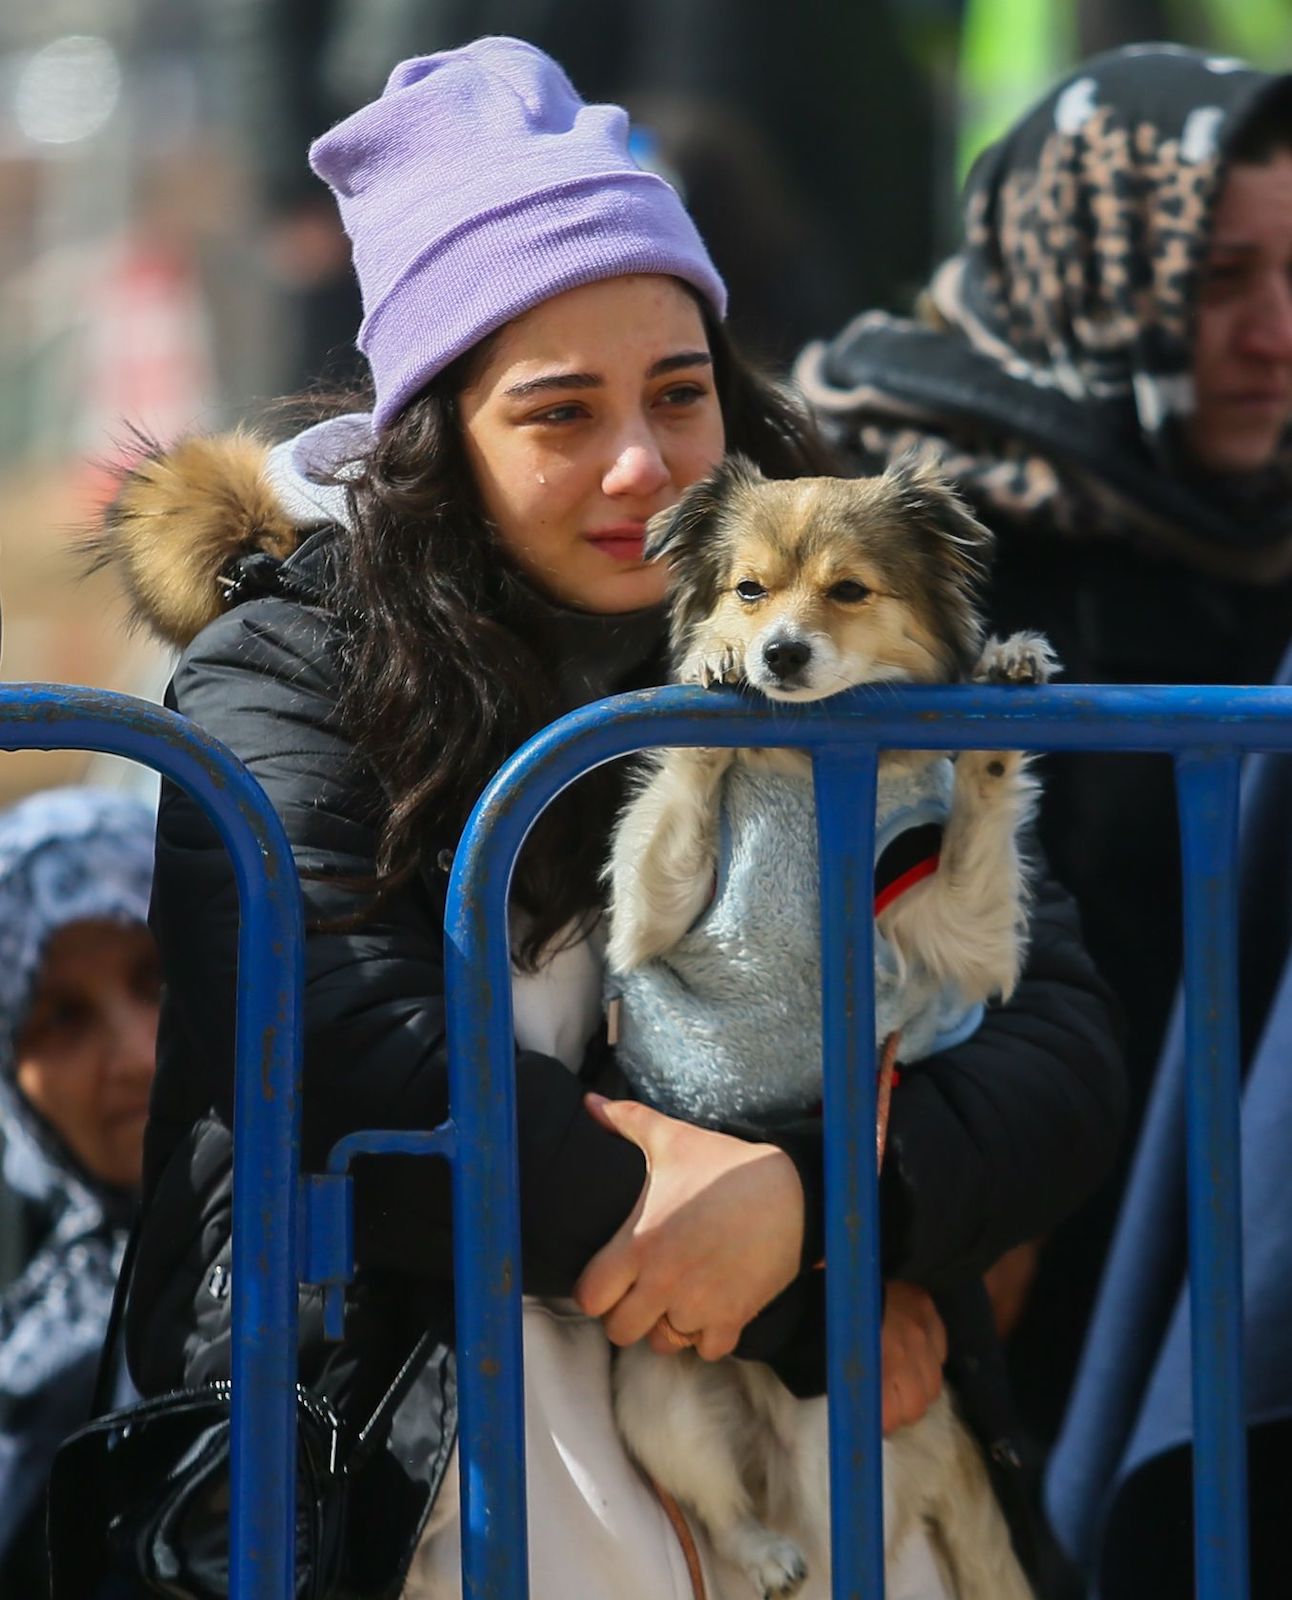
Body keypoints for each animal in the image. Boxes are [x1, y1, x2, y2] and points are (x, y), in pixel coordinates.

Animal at [604, 454, 1048, 1600]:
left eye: (848, 592)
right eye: (749, 592)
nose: (777, 652)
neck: (806, 779)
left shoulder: (957, 933)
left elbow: (981, 826)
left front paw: (1003, 678)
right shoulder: (651, 915)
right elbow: (677, 802)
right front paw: (711, 669)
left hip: (834, 1448)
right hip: (664, 1400)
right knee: (724, 1514)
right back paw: (765, 1556)